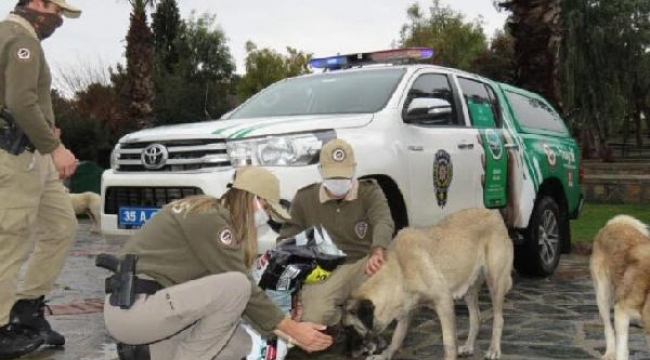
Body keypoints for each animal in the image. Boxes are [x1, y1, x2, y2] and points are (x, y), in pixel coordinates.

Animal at [342, 208, 512, 360]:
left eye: (351, 329)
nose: (348, 354)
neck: (399, 269)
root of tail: (494, 213)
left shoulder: (444, 302)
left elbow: (449, 341)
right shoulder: (406, 308)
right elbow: (397, 337)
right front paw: (385, 355)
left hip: (495, 282)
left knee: (499, 318)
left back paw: (494, 349)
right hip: (469, 288)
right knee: (476, 317)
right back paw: (469, 346)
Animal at [588, 214, 648, 360]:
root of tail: (612, 224)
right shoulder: (621, 311)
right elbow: (621, 349)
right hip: (603, 296)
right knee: (608, 329)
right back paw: (610, 353)